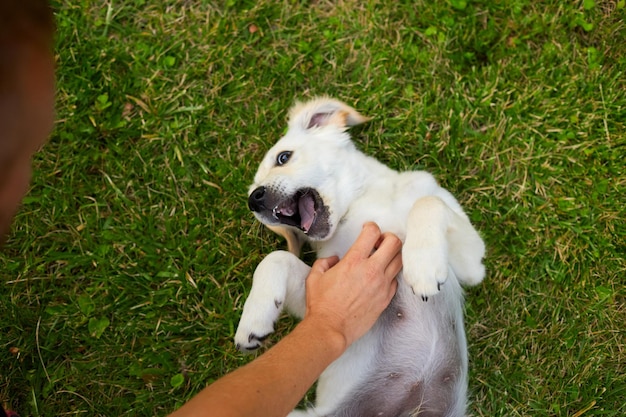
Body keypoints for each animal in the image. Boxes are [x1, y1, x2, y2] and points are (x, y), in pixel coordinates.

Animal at [234, 98, 482, 416]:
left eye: (283, 157)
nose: (253, 199)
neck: (360, 203)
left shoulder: (473, 264)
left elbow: (428, 202)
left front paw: (423, 266)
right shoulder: (328, 281)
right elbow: (277, 258)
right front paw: (253, 319)